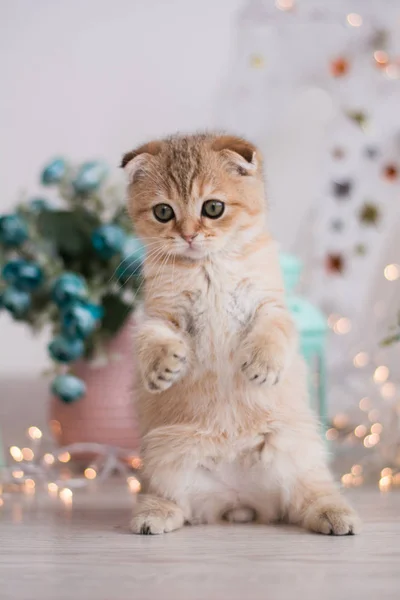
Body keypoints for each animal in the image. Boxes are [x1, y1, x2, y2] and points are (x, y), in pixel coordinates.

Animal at [120, 132, 360, 536]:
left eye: (213, 208)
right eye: (163, 212)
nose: (188, 235)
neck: (209, 267)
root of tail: (239, 502)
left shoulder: (270, 305)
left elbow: (273, 331)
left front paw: (261, 364)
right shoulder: (161, 313)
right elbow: (148, 336)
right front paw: (161, 367)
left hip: (297, 449)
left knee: (308, 494)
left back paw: (335, 515)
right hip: (163, 457)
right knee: (171, 499)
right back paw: (153, 515)